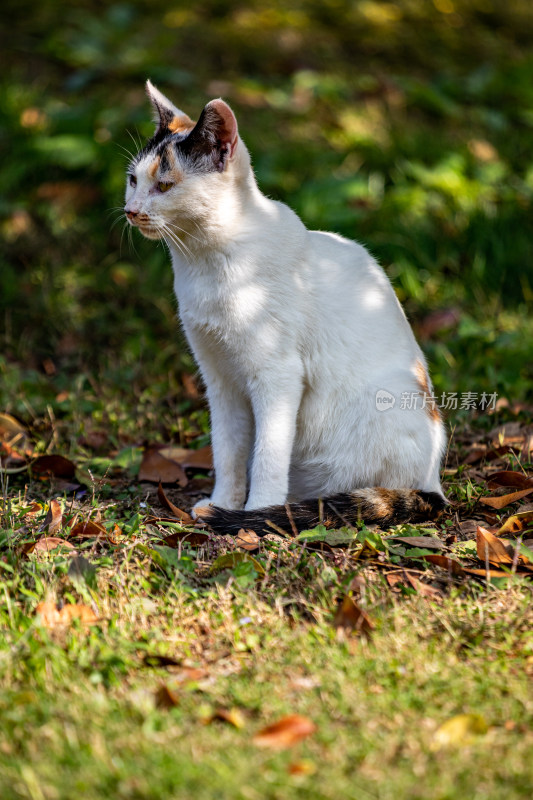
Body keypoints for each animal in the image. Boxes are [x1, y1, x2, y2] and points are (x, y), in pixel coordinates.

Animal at [124, 81, 444, 536]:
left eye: (165, 185)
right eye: (133, 180)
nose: (131, 211)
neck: (204, 260)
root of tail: (434, 482)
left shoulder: (278, 375)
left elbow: (268, 453)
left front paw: (254, 513)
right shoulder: (219, 378)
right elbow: (228, 449)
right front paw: (225, 502)